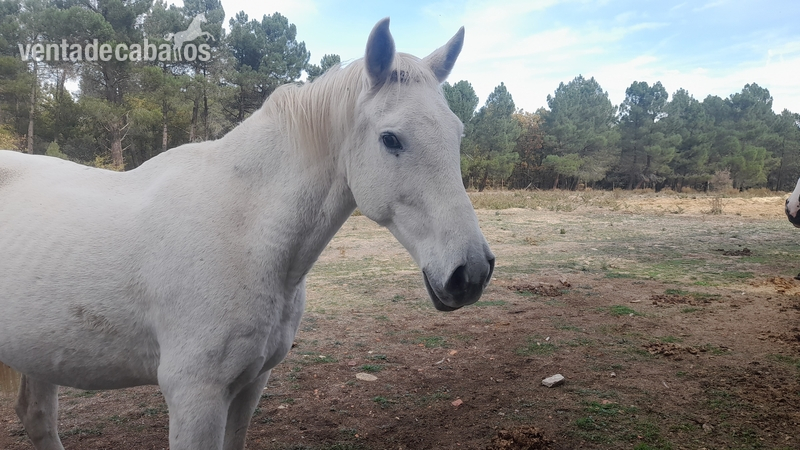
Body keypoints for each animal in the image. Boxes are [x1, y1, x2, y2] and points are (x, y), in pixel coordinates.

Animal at [0, 18, 494, 450]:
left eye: (457, 134)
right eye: (391, 139)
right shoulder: (194, 396)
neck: (246, 234)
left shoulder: (250, 385)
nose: (471, 272)